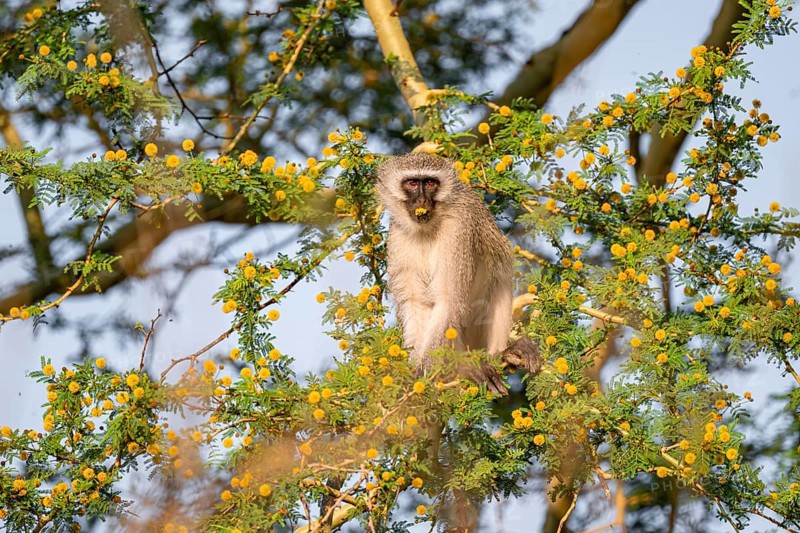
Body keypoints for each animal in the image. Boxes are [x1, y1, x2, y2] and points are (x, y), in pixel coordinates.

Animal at [376, 152, 514, 389]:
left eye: (431, 183)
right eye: (412, 183)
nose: (422, 201)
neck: (427, 229)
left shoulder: (458, 227)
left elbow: (448, 302)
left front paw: (423, 371)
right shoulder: (398, 237)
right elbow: (416, 303)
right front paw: (415, 371)